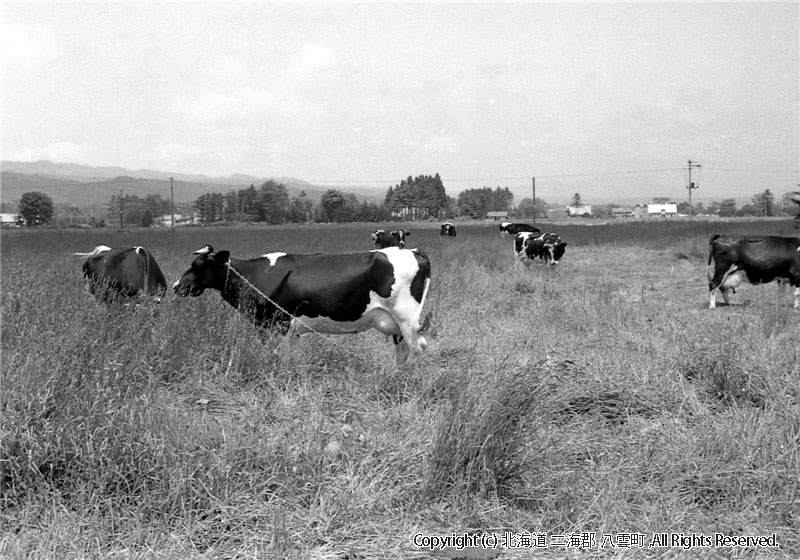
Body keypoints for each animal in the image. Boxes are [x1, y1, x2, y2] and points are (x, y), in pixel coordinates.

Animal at [172, 245, 432, 364]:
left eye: (198, 265)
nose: (176, 285)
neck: (255, 275)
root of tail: (413, 251)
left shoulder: (277, 324)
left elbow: (278, 356)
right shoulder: (287, 328)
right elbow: (293, 358)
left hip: (407, 318)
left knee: (417, 346)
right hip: (398, 323)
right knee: (402, 350)